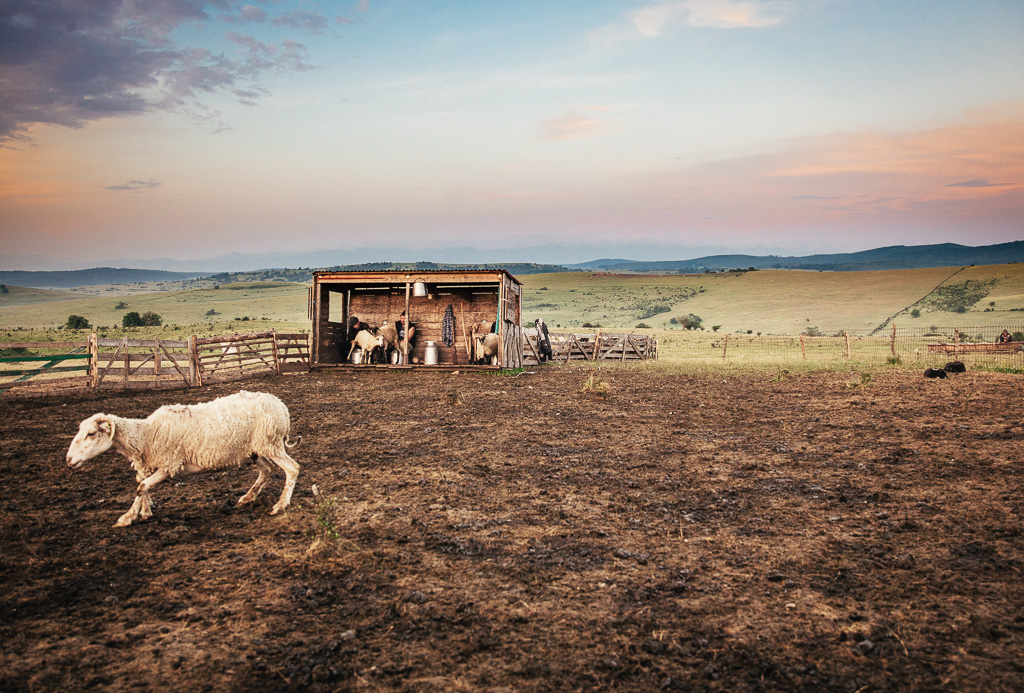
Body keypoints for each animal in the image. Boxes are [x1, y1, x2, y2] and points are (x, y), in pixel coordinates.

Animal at [64, 388, 299, 524]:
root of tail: (281, 405)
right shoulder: (151, 463)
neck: (146, 434)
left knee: (292, 468)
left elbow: (141, 486)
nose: (69, 460)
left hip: (270, 442)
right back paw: (247, 498)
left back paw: (280, 505)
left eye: (91, 433)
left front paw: (127, 517)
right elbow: (142, 484)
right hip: (255, 450)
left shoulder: (169, 464)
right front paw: (144, 510)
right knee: (267, 470)